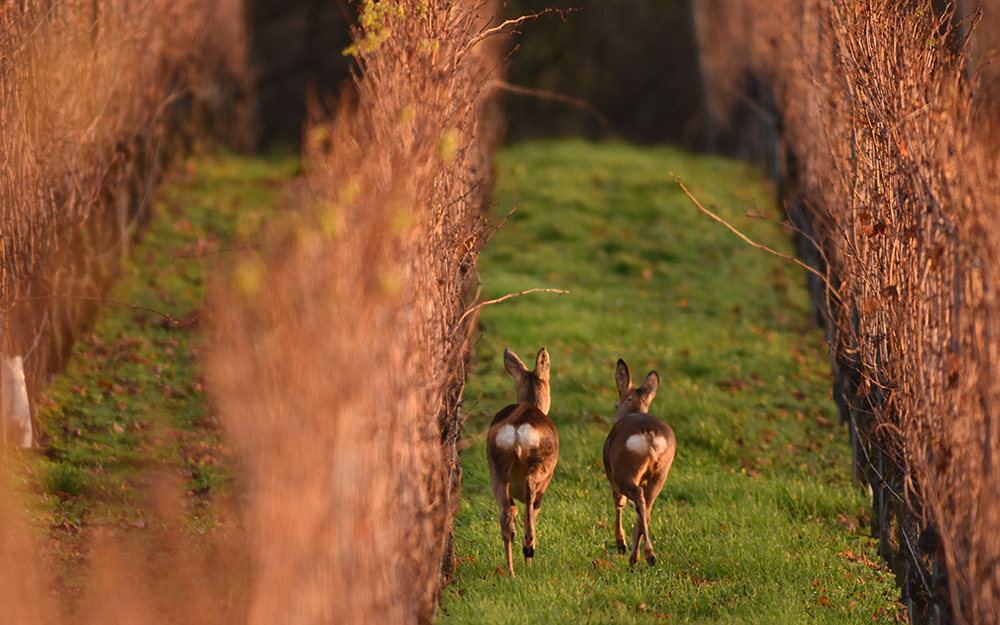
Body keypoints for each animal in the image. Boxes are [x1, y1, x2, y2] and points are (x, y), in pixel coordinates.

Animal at [486, 346, 560, 576]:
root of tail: (518, 427)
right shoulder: (547, 480)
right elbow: (534, 509)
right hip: (541, 462)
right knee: (530, 493)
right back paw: (529, 549)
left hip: (497, 467)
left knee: (505, 516)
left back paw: (510, 572)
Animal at [604, 356, 676, 564]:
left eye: (616, 405)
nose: (616, 409)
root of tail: (649, 434)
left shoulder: (612, 477)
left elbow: (618, 503)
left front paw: (620, 543)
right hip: (661, 472)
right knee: (646, 508)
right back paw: (637, 559)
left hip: (624, 469)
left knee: (637, 499)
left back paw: (645, 555)